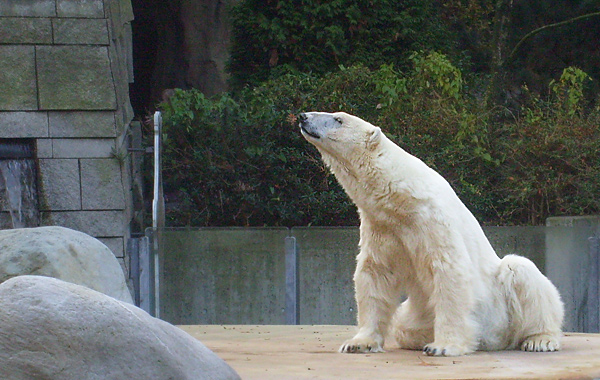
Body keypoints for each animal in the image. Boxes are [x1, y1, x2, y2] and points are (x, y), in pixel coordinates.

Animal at [300, 110, 564, 356]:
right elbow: (375, 273)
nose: (303, 116)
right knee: (403, 327)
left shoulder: (431, 219)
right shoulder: (381, 226)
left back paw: (540, 339)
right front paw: (358, 343)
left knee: (522, 271)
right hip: (418, 314)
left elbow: (448, 270)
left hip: (501, 306)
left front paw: (443, 346)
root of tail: (500, 341)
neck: (400, 198)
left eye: (338, 119)